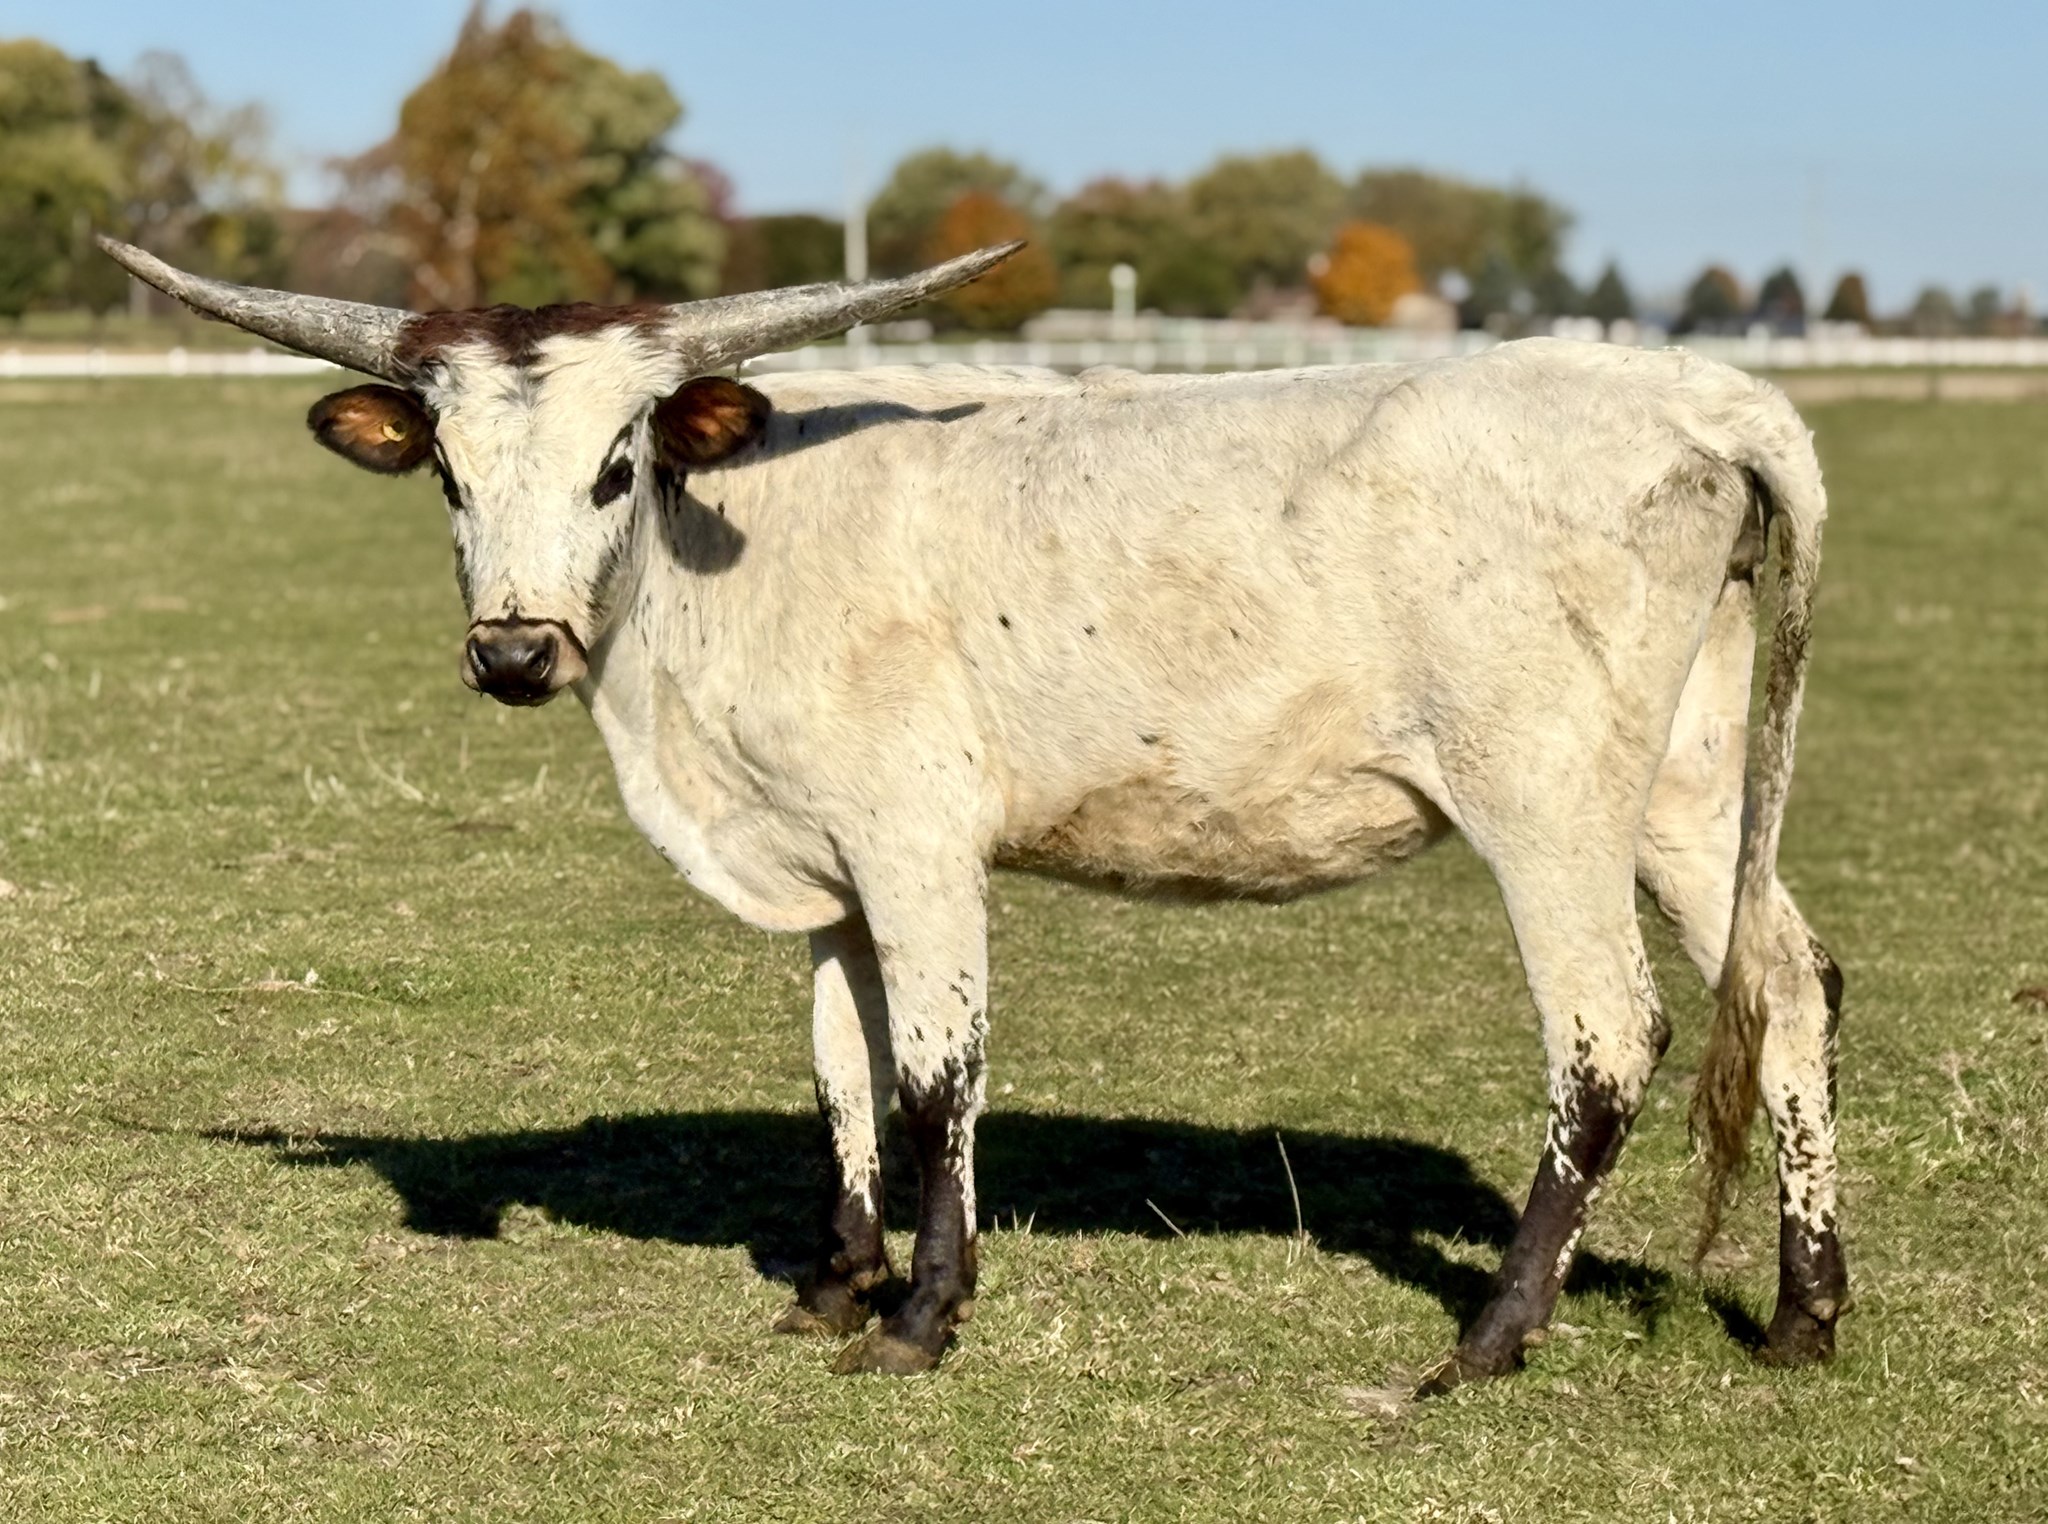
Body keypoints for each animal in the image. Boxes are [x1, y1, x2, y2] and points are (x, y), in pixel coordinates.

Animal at [100, 235, 1845, 1390]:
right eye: (452, 477)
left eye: (612, 467)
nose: (516, 650)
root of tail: (1696, 396)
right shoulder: (828, 873)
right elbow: (842, 1071)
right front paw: (837, 1285)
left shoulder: (915, 841)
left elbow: (939, 1074)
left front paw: (925, 1316)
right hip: (1689, 790)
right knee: (1790, 985)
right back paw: (1804, 1314)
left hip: (1544, 797)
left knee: (1609, 1035)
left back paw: (1490, 1334)